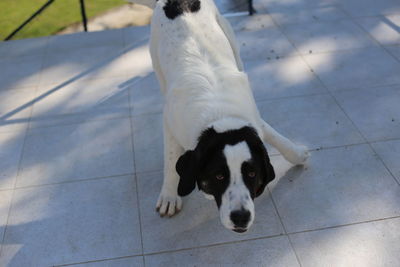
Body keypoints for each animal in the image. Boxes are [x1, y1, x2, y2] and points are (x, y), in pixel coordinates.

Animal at [130, 0, 310, 233]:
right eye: (219, 175)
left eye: (252, 173)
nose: (241, 217)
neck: (220, 118)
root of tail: (175, 2)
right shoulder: (170, 121)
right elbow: (170, 161)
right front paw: (169, 195)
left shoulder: (252, 119)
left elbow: (272, 134)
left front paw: (296, 153)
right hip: (157, 61)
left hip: (228, 35)